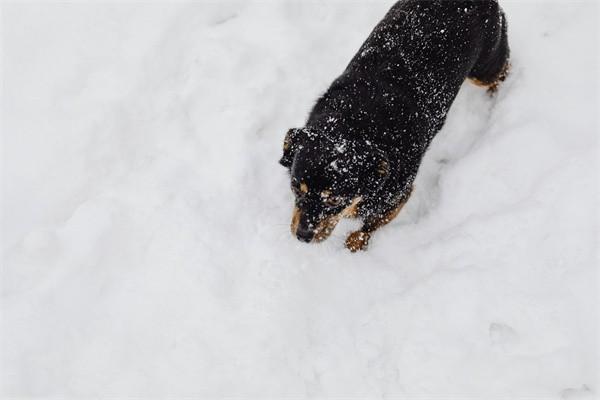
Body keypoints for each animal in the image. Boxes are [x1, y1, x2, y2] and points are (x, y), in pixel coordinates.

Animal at [278, 0, 508, 252]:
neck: (351, 125)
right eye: (295, 188)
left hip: (485, 67)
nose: (302, 236)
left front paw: (356, 242)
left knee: (502, 72)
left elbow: (372, 223)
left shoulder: (397, 197)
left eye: (334, 199)